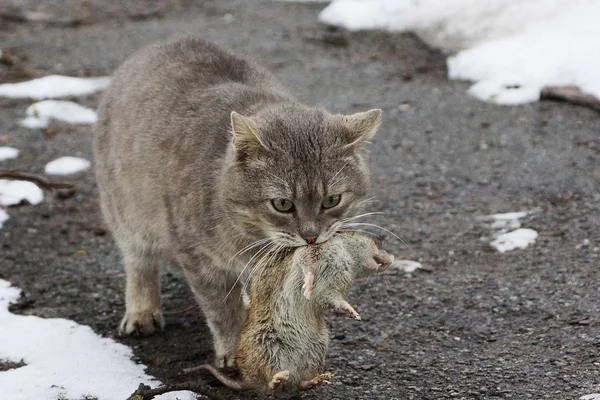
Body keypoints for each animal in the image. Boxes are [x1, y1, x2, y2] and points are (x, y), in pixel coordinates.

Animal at [94, 36, 382, 368]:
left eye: (332, 200)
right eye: (282, 204)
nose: (311, 236)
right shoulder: (199, 259)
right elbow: (223, 309)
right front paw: (234, 348)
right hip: (126, 214)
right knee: (138, 261)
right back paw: (142, 310)